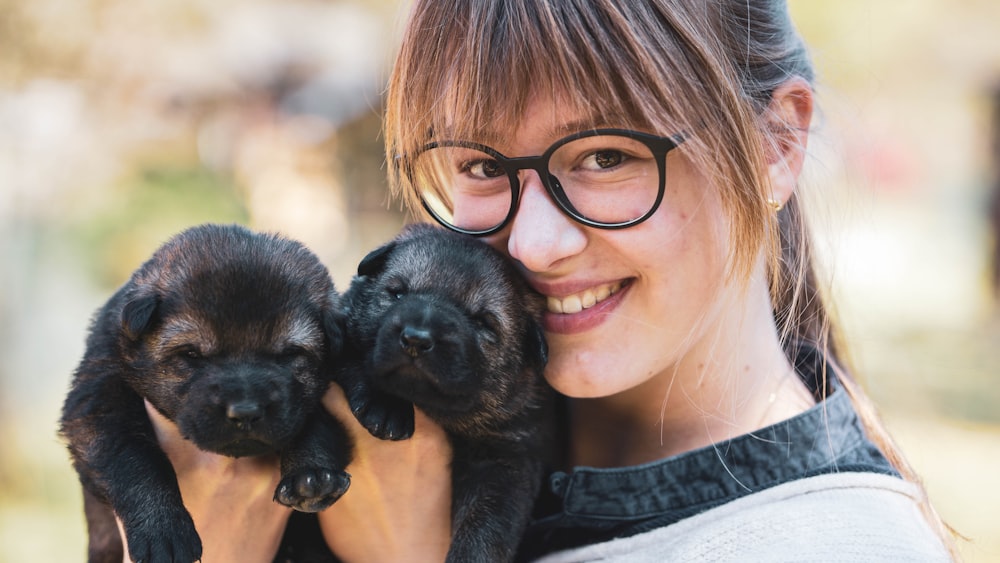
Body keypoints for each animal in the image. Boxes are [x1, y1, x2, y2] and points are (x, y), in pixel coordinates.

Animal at [58, 225, 354, 563]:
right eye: (191, 354)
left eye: (290, 354)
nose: (245, 412)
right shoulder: (99, 398)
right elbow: (134, 457)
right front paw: (163, 529)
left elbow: (313, 426)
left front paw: (312, 477)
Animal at [336, 224, 556, 563]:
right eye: (397, 293)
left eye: (482, 322)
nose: (416, 338)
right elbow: (351, 354)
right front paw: (386, 407)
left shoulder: (507, 460)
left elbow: (486, 526)